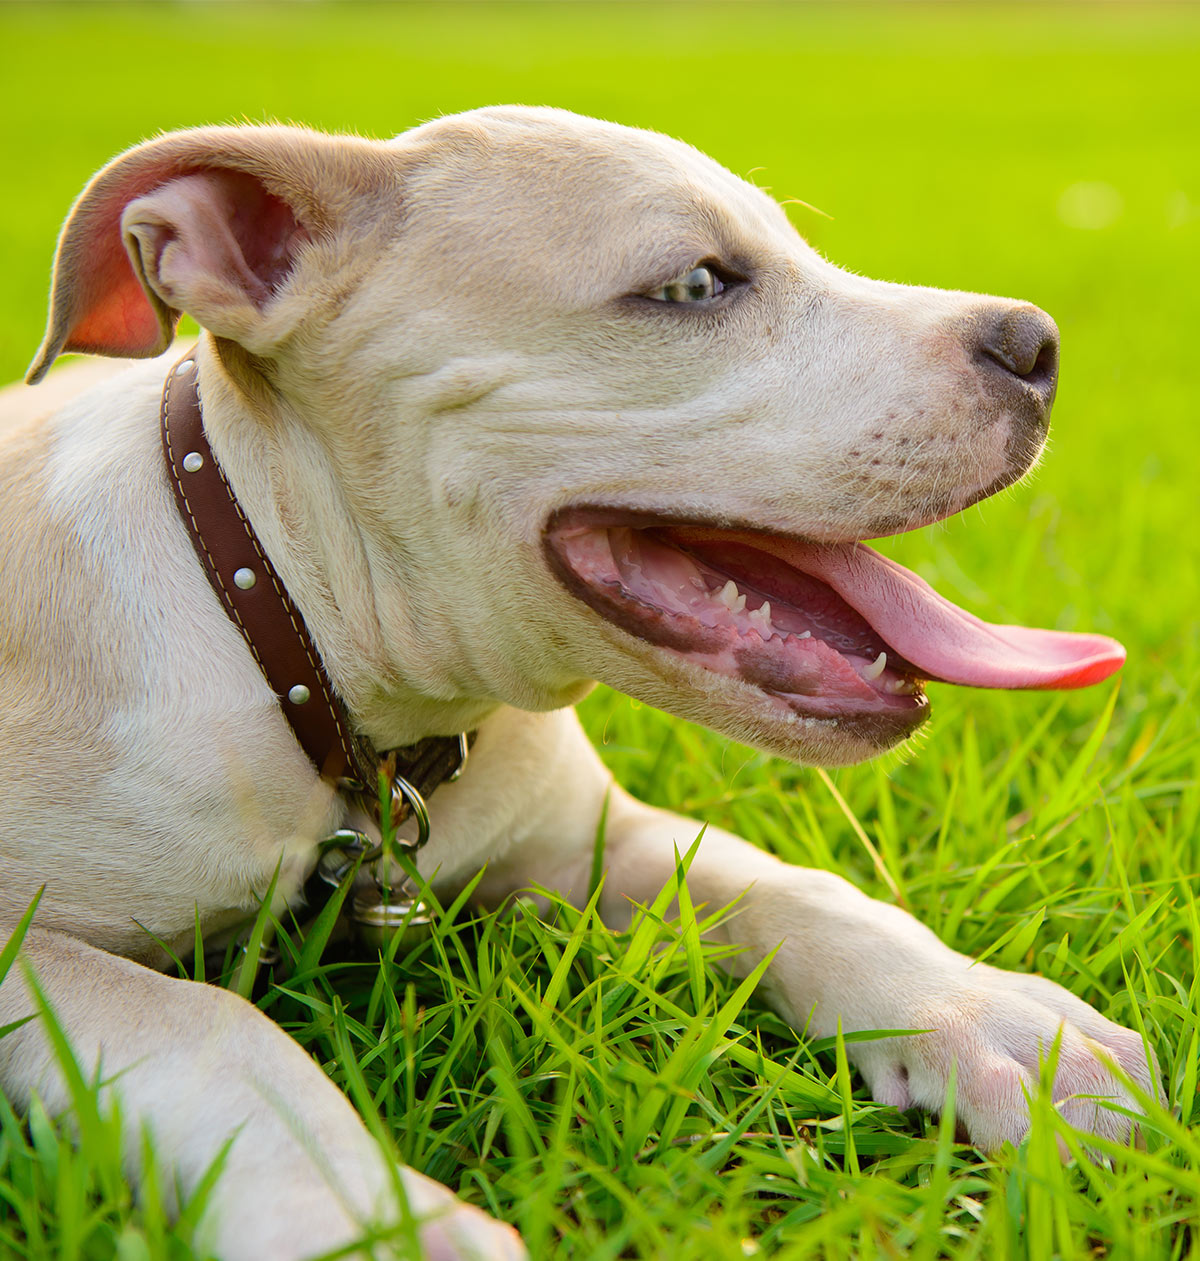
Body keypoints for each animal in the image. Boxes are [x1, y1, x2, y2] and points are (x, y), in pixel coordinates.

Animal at [0, 110, 1164, 1261]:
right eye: (695, 285)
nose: (1038, 343)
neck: (281, 629)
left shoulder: (589, 835)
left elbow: (789, 884)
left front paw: (996, 1020)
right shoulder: (26, 948)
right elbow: (202, 1023)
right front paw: (379, 1223)